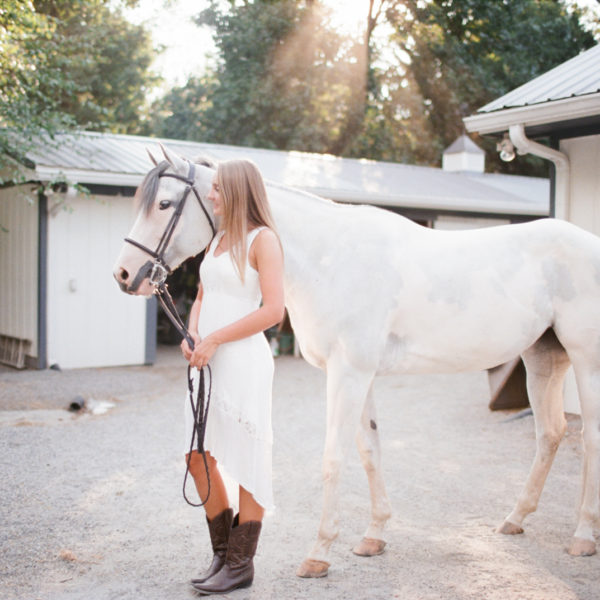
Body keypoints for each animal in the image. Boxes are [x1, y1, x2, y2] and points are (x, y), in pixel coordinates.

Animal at [112, 145, 600, 576]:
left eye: (164, 203)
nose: (124, 274)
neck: (330, 260)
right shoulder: (360, 375)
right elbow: (370, 450)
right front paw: (374, 535)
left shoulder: (348, 374)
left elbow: (334, 456)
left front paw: (319, 552)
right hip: (542, 358)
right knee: (550, 433)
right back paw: (516, 518)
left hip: (586, 361)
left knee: (589, 438)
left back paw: (582, 536)